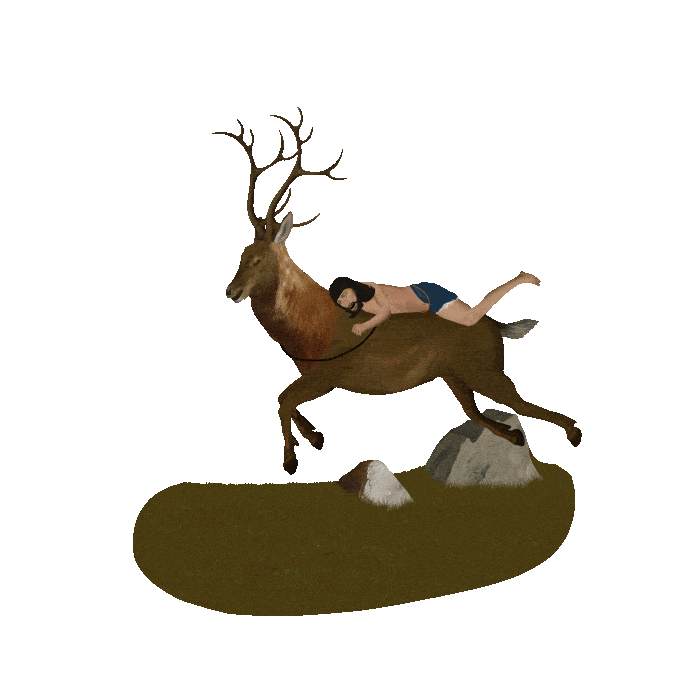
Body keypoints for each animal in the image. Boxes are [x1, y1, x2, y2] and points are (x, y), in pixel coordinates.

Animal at [217, 108, 581, 475]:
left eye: (259, 259)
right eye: (241, 254)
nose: (231, 291)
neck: (308, 327)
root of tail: (496, 327)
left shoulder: (328, 376)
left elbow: (283, 400)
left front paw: (291, 460)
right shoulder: (308, 374)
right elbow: (283, 399)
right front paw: (316, 438)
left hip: (484, 369)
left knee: (519, 402)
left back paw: (574, 433)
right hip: (453, 374)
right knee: (475, 411)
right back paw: (516, 436)